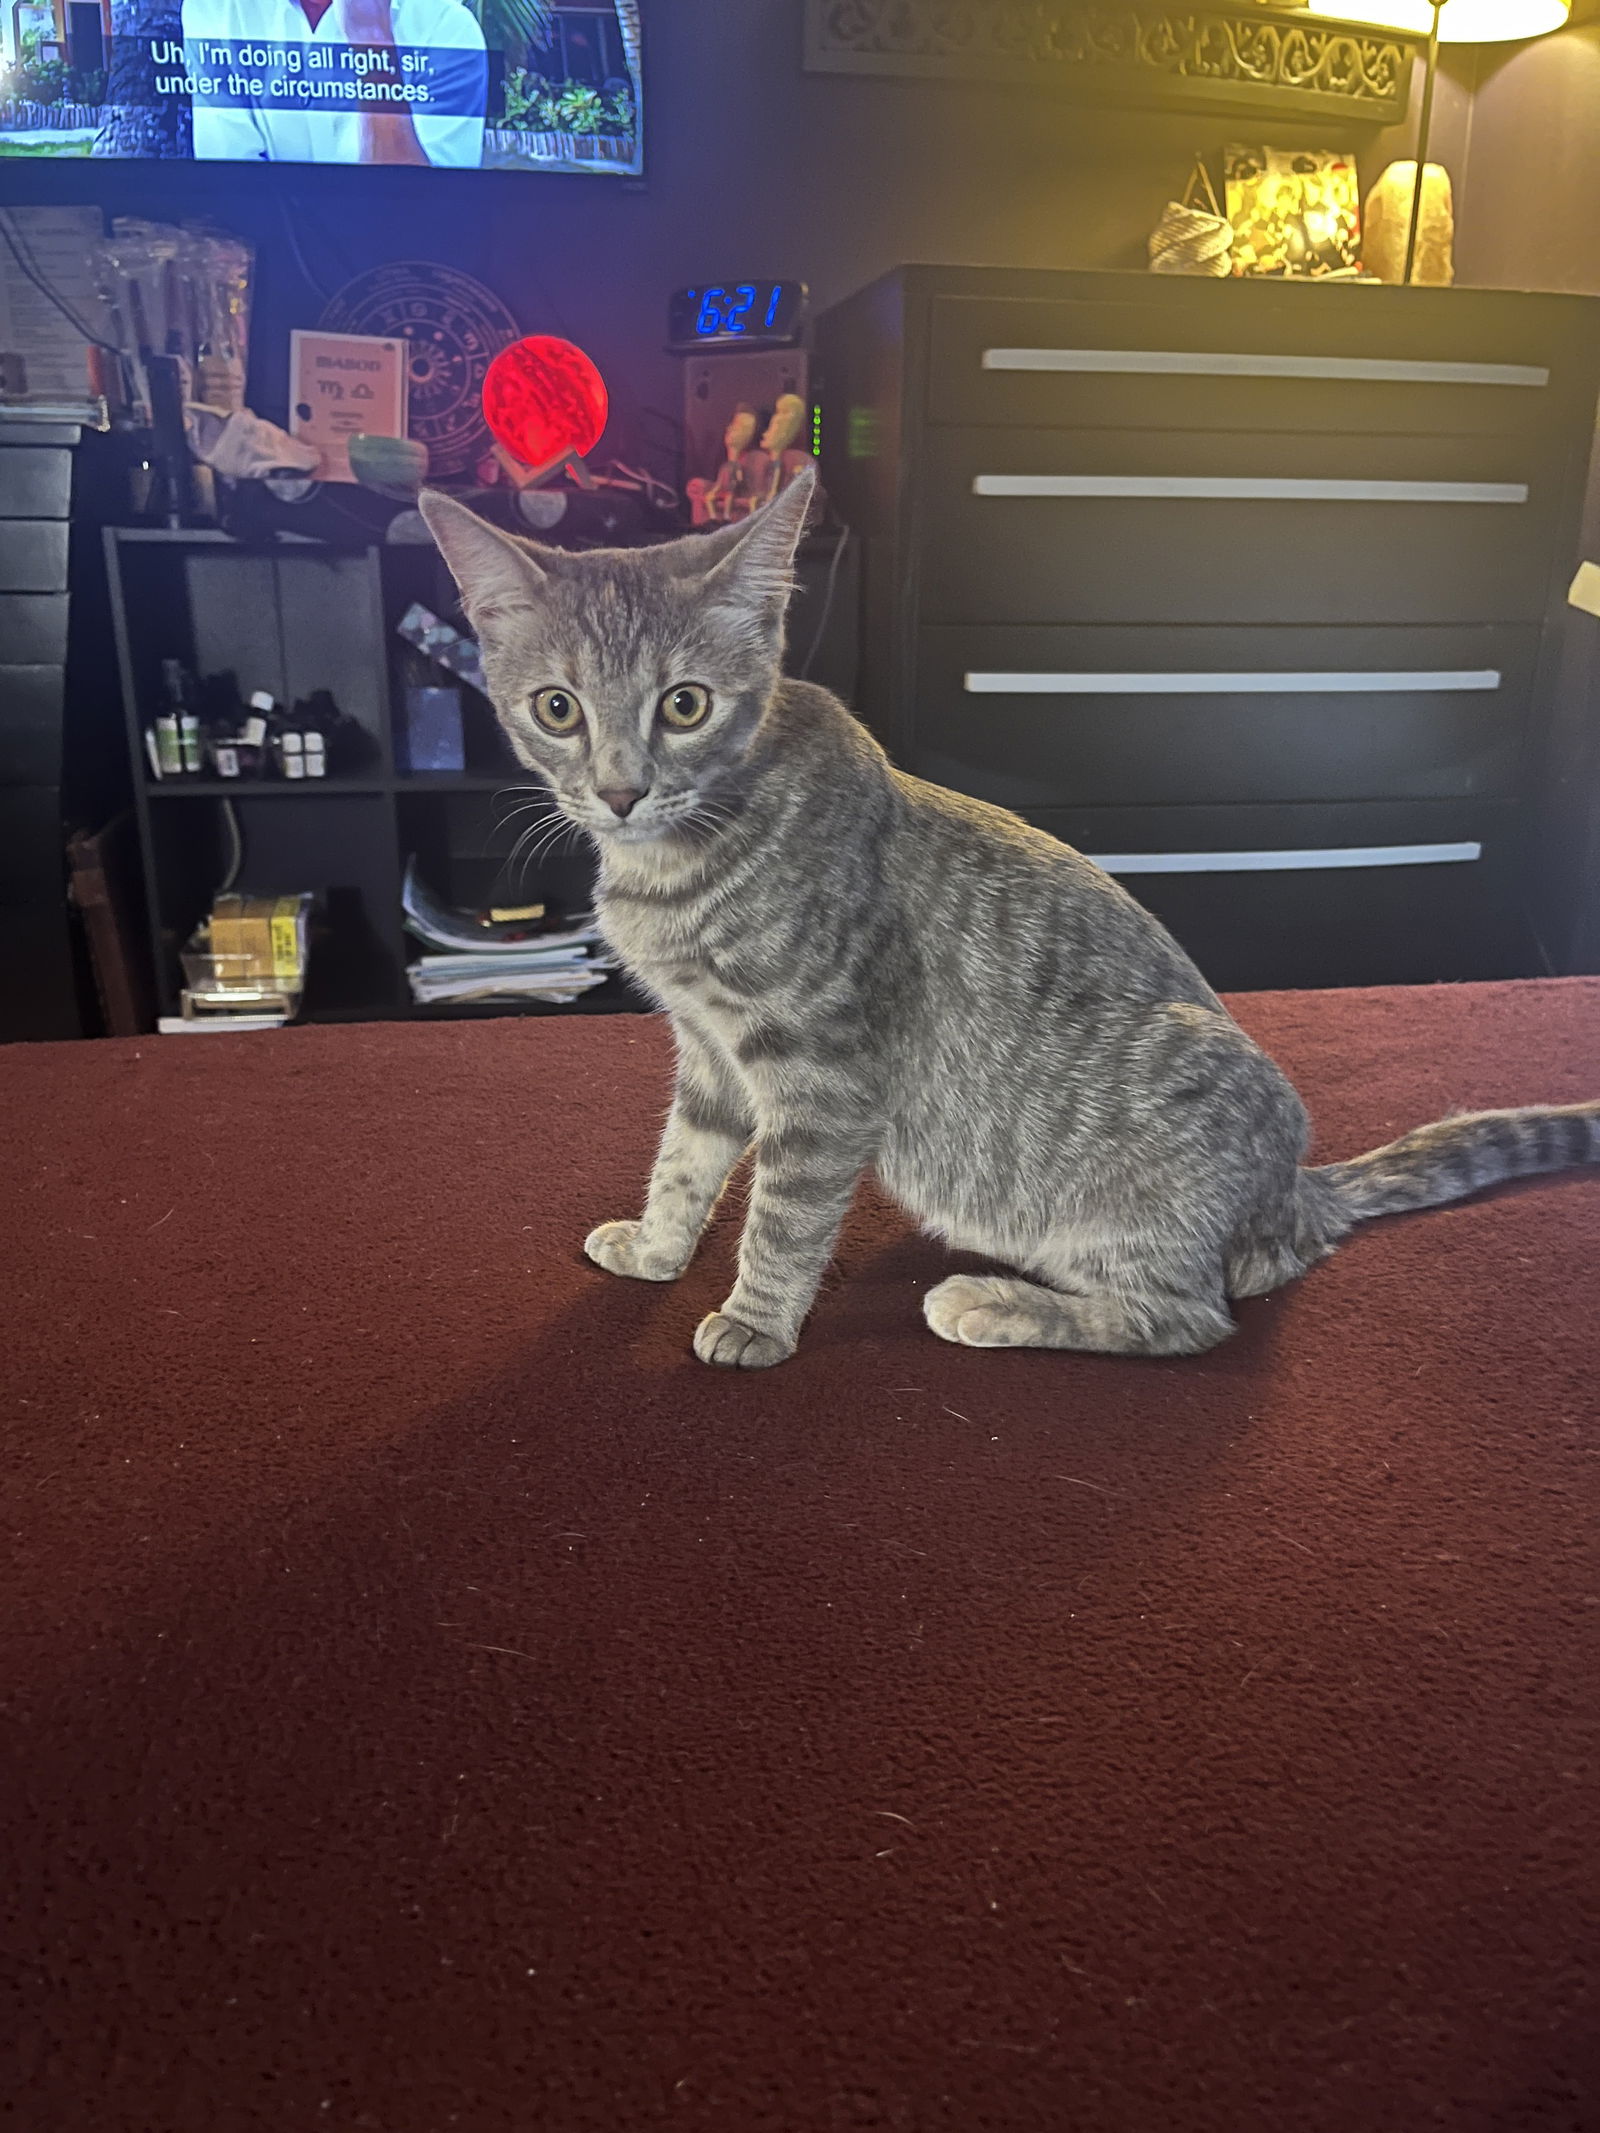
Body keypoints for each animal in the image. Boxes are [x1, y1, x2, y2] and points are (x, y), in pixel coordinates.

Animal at [420, 467, 1595, 1365]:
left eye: (684, 704)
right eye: (557, 709)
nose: (620, 792)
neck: (676, 868)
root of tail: (1290, 1197)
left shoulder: (823, 1075)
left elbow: (785, 1212)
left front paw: (756, 1319)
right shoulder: (709, 1052)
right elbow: (684, 1160)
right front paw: (660, 1247)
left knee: (1190, 1318)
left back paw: (992, 1302)